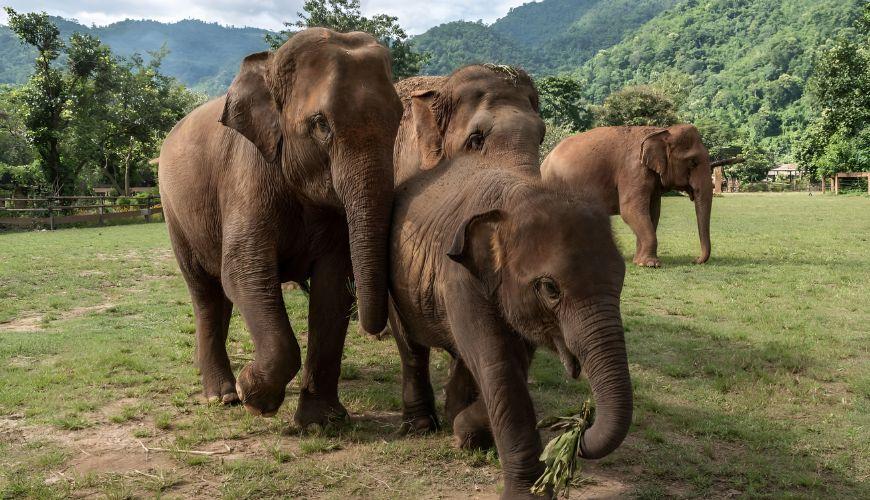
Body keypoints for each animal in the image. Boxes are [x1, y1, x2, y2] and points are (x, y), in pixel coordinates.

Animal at [158, 28, 404, 426]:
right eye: (321, 124)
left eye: (398, 118)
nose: (377, 331)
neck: (269, 67)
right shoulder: (247, 174)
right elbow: (245, 272)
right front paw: (253, 396)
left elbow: (332, 287)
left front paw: (322, 422)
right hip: (173, 211)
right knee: (205, 290)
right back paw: (221, 396)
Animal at [390, 156, 632, 496]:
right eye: (550, 288)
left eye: (621, 277)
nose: (579, 426)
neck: (516, 197)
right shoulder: (459, 277)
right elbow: (498, 364)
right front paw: (527, 493)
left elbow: (513, 361)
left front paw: (464, 433)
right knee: (411, 347)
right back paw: (421, 427)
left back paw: (456, 417)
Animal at [544, 124, 716, 266]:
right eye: (693, 162)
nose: (695, 260)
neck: (661, 131)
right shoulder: (633, 169)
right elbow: (630, 210)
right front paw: (651, 264)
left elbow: (653, 212)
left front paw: (639, 261)